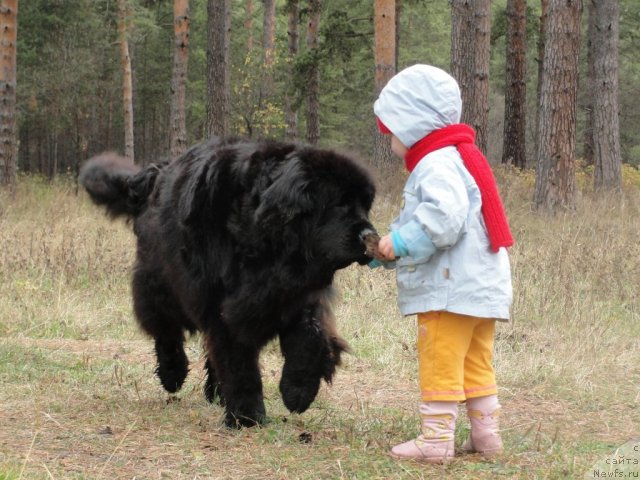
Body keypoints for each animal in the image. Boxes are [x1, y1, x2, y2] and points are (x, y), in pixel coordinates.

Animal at [80, 137, 380, 426]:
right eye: (339, 203)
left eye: (365, 206)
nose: (369, 235)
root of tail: (157, 173)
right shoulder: (222, 306)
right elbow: (238, 361)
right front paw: (247, 416)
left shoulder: (297, 295)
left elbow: (311, 336)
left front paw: (298, 391)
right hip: (159, 283)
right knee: (165, 330)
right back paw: (172, 373)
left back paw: (216, 391)